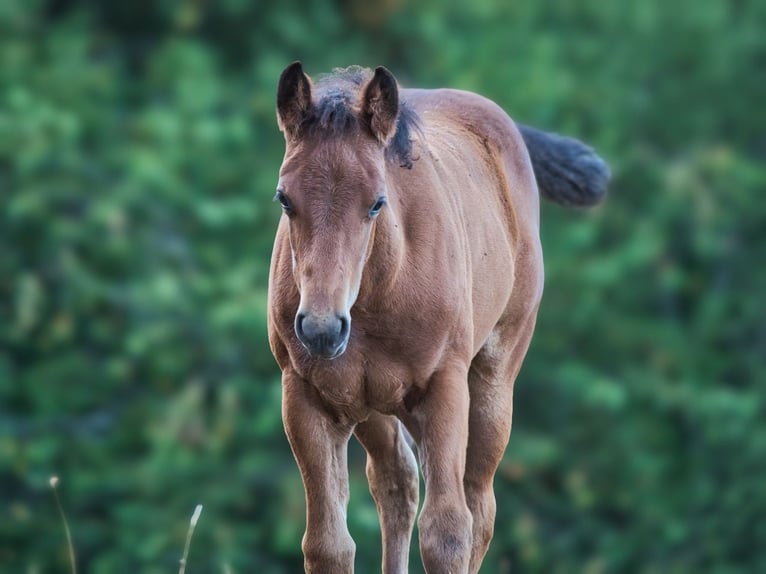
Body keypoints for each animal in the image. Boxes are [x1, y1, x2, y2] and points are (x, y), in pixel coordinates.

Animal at [267, 62, 608, 573]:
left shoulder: (444, 388)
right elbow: (327, 545)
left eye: (377, 201)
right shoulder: (306, 396)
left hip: (491, 382)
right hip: (372, 404)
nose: (322, 329)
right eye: (285, 199)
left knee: (477, 507)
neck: (382, 287)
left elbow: (446, 533)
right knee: (398, 483)